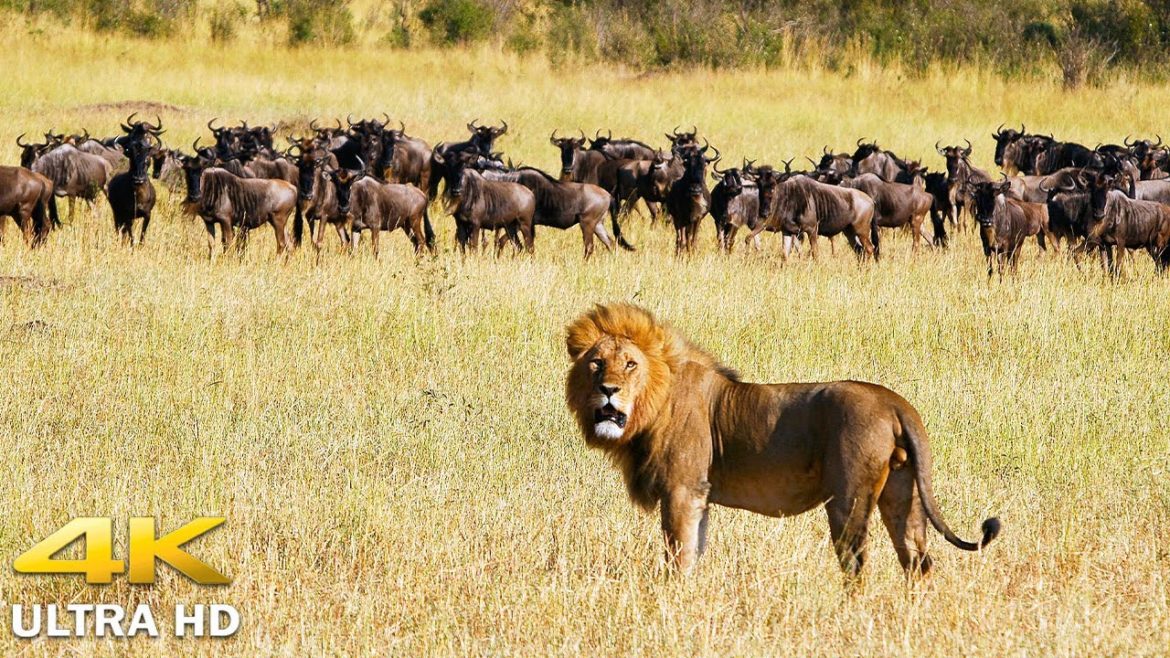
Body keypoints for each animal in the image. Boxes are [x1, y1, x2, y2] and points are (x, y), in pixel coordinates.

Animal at [565, 303, 1000, 576]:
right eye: (596, 363)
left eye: (630, 364)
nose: (607, 390)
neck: (654, 402)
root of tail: (894, 402)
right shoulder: (700, 495)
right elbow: (695, 551)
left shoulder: (682, 489)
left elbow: (679, 556)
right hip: (902, 493)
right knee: (917, 561)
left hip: (848, 499)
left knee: (858, 565)